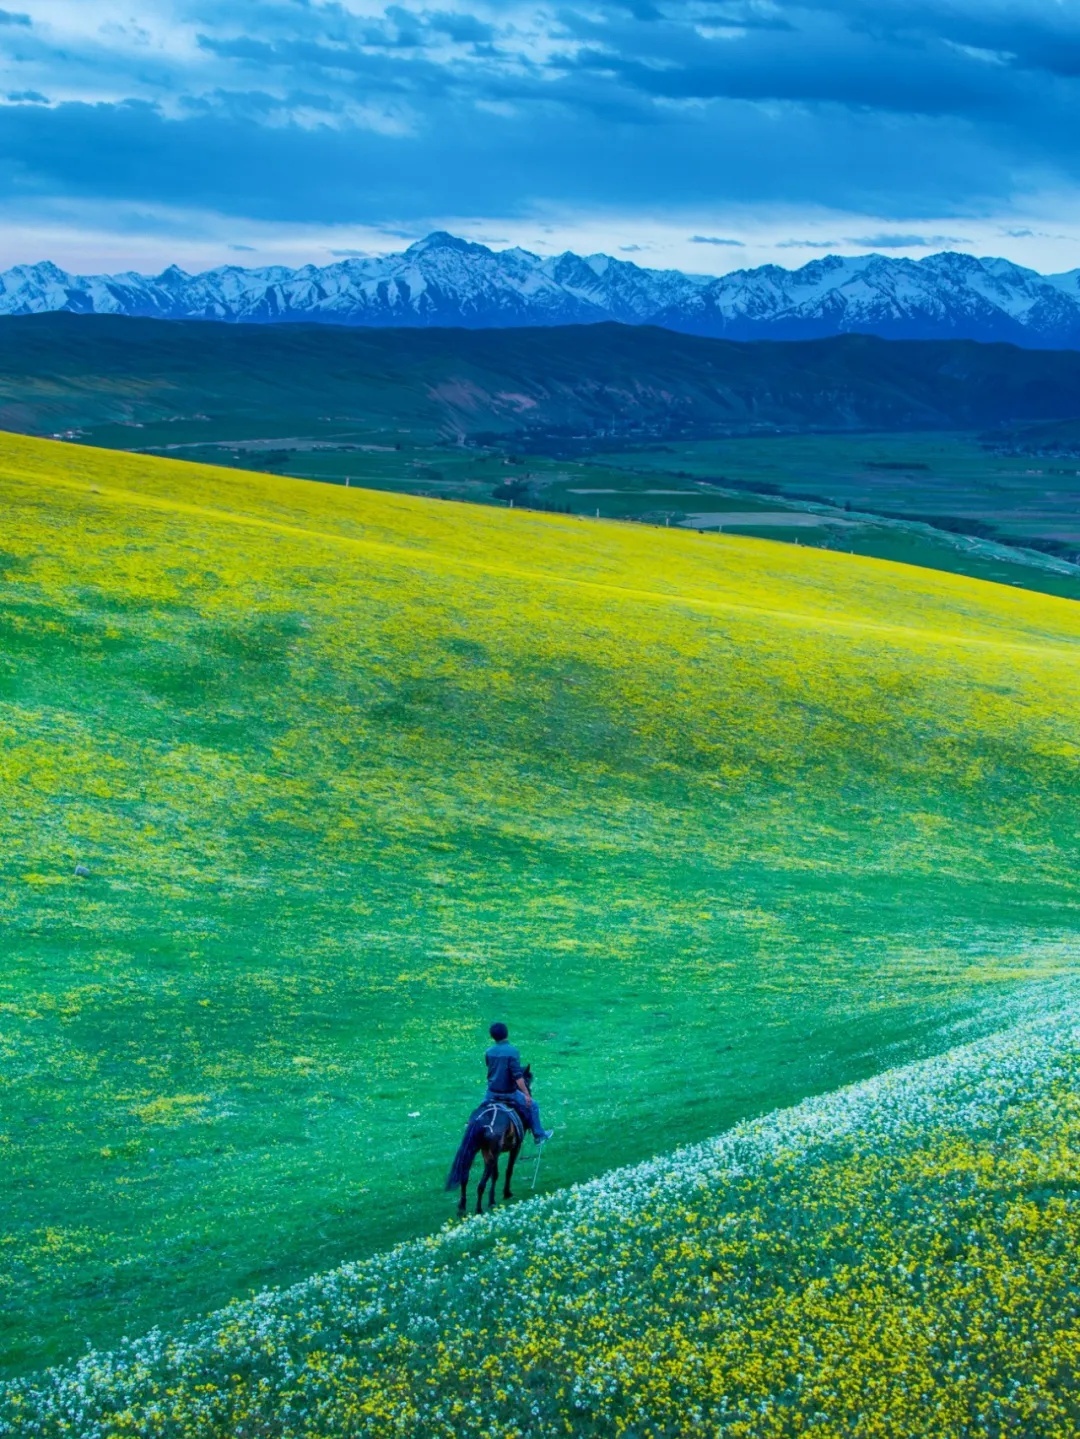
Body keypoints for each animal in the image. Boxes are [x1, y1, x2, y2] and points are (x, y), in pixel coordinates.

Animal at [448, 1070, 532, 1214]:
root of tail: (480, 1121)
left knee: (465, 1177)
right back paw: (478, 1208)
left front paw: (492, 1200)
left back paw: (462, 1207)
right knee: (481, 1184)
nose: (529, 1096)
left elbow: (495, 1174)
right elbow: (508, 1170)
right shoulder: (515, 1147)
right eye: (527, 1082)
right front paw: (506, 1193)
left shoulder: (489, 1152)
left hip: (475, 1150)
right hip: (491, 1153)